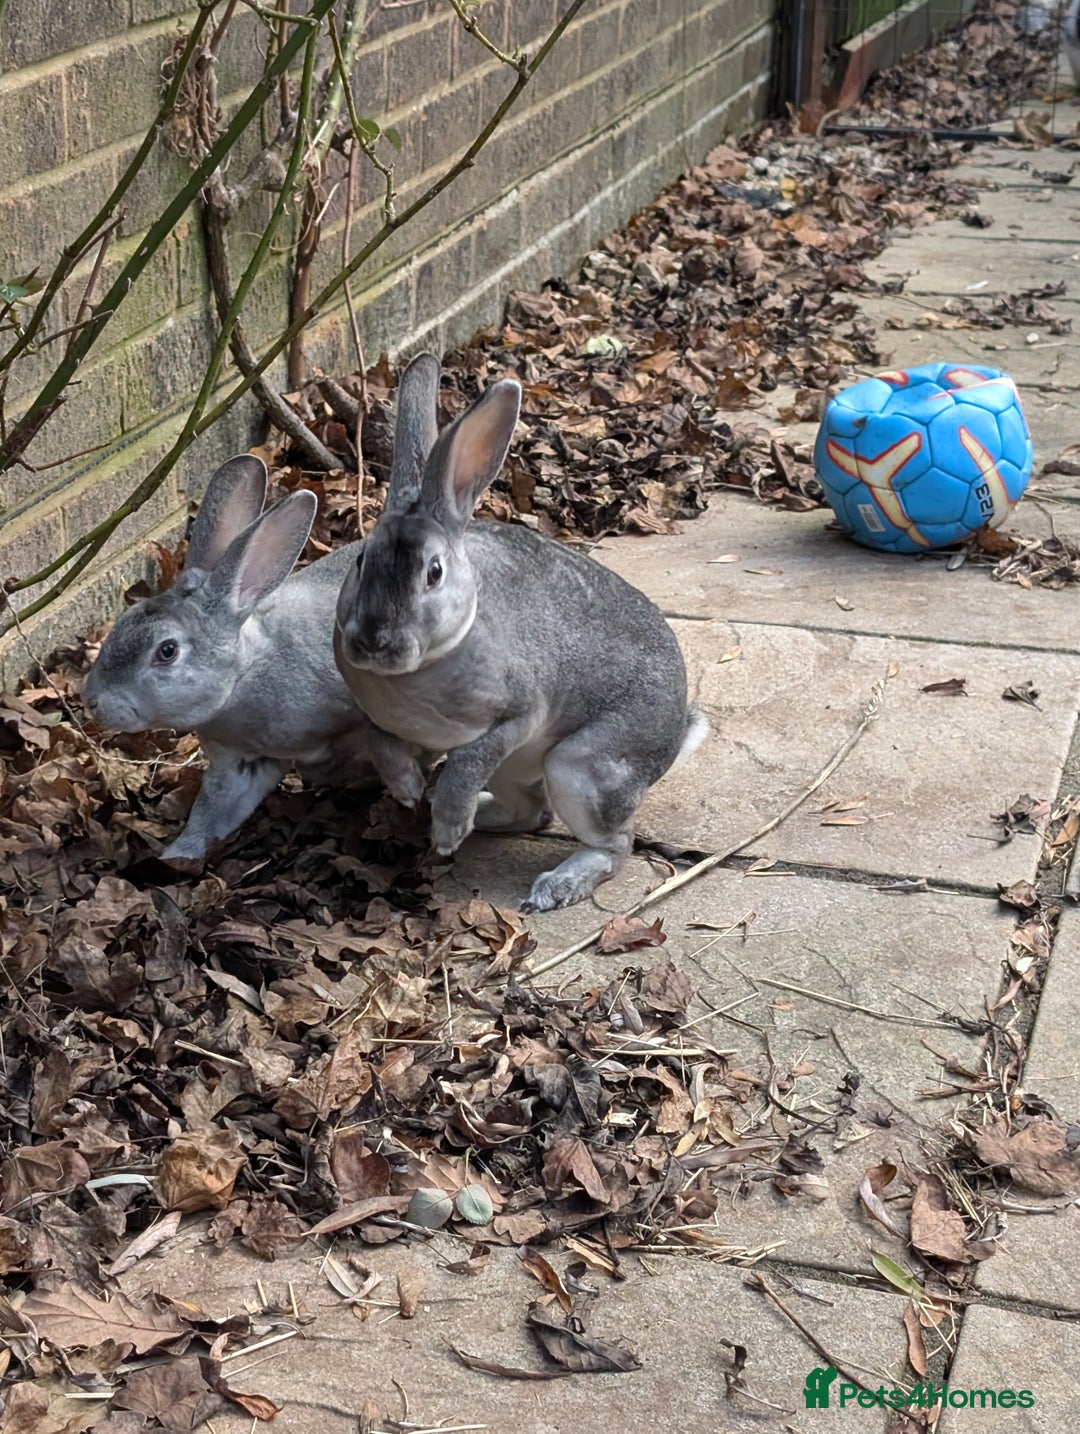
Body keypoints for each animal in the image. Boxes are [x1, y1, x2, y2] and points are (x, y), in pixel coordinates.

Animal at [82, 454, 422, 861]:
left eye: (167, 651)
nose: (92, 701)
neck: (243, 676)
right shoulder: (241, 762)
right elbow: (212, 813)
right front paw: (176, 857)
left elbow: (381, 735)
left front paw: (408, 789)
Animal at [333, 353, 707, 913]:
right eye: (360, 561)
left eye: (434, 572)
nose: (374, 644)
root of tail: (673, 738)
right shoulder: (382, 719)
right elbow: (381, 742)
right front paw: (406, 788)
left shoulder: (517, 716)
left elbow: (469, 761)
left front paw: (447, 827)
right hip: (524, 771)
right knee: (532, 813)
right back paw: (461, 817)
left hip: (581, 768)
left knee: (615, 846)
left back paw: (552, 882)